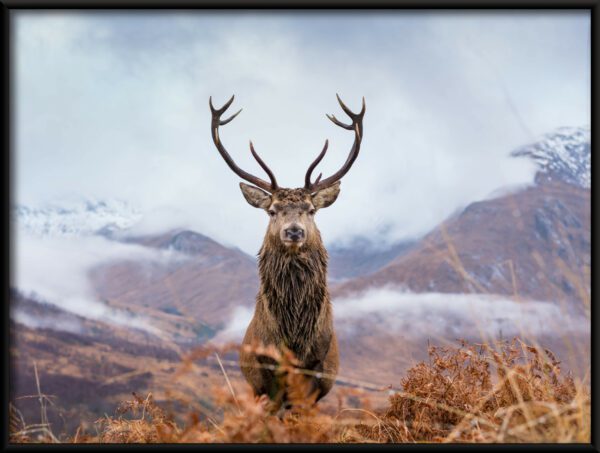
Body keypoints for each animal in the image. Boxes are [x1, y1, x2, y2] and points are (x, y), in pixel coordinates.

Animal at [206, 93, 366, 412]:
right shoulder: (265, 373)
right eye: (272, 210)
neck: (294, 340)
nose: (294, 231)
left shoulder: (315, 370)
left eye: (312, 209)